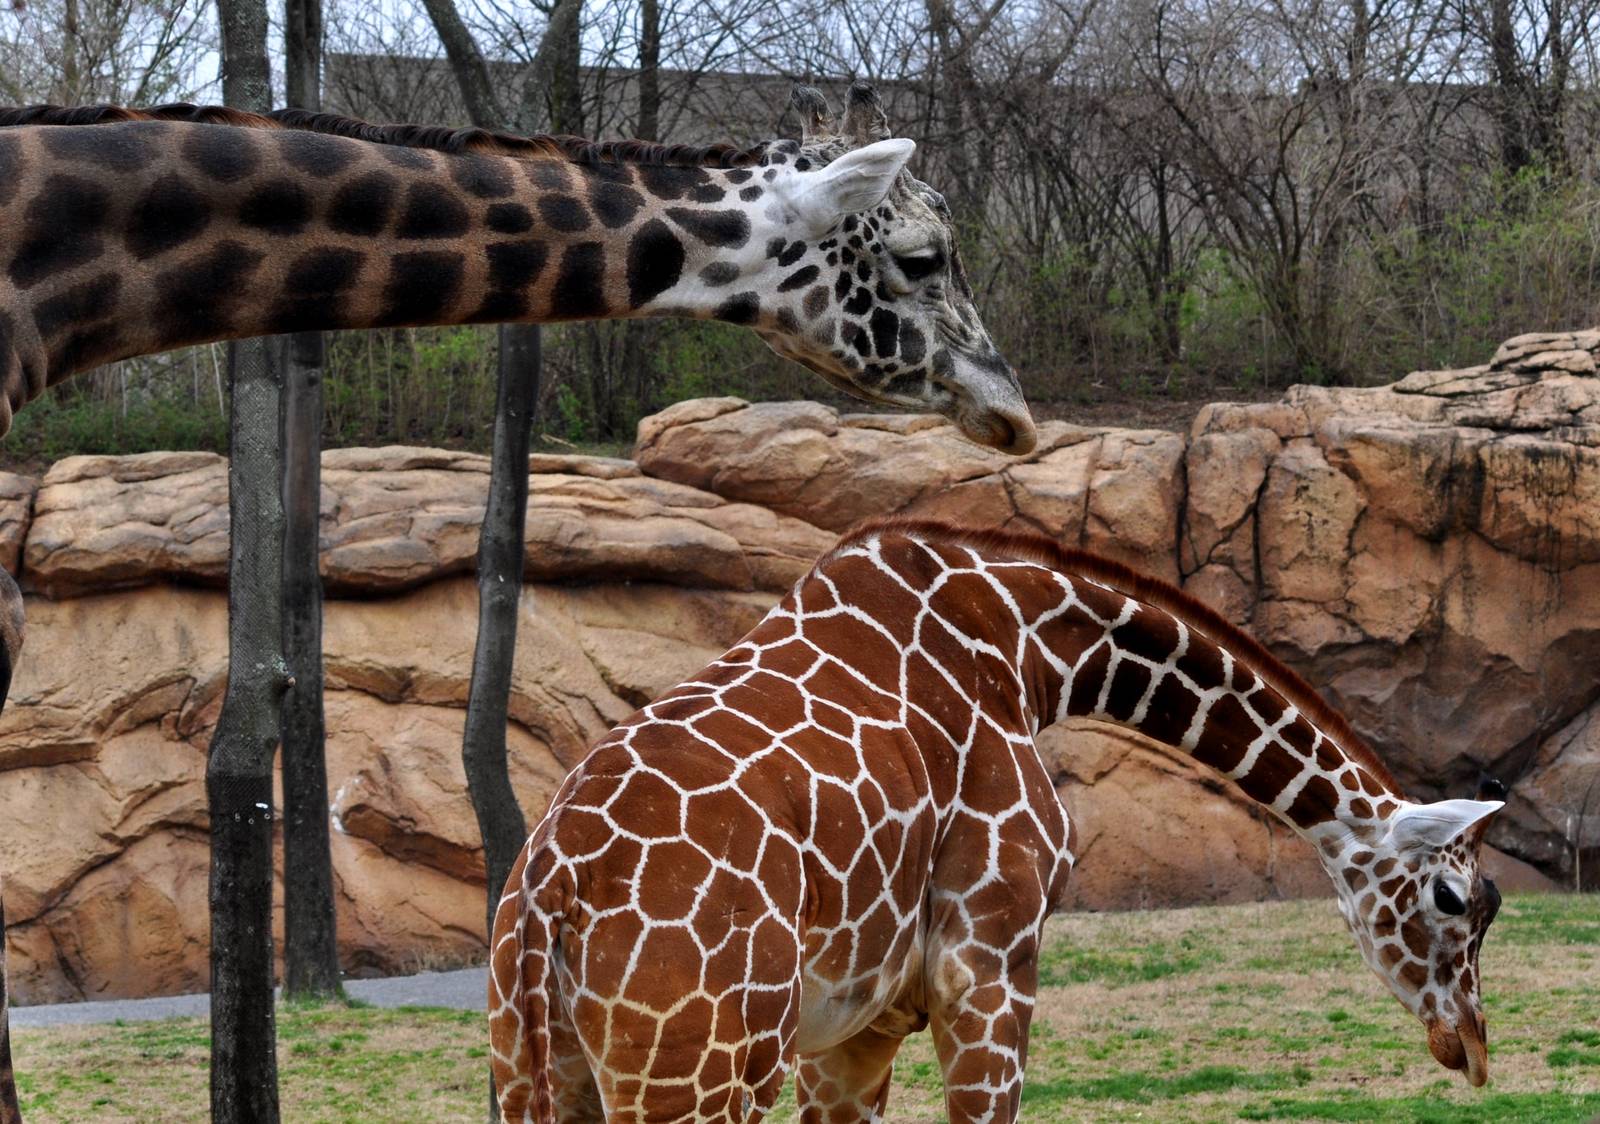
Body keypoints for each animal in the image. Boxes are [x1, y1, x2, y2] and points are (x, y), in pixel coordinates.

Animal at [487, 518, 1505, 1123]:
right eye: (1458, 900)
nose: (1472, 1047)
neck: (1027, 645)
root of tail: (550, 890)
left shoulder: (858, 1028)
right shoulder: (989, 966)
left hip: (536, 1063)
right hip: (693, 1074)